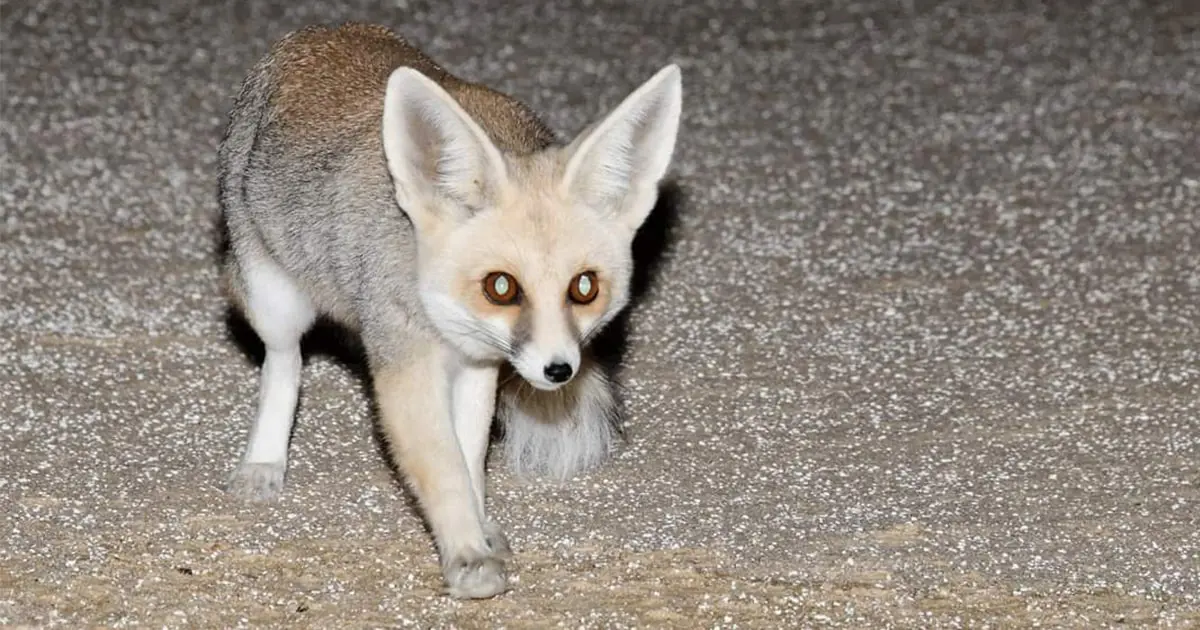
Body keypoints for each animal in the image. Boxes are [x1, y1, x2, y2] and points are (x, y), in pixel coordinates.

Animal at [216, 22, 686, 597]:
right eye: (501, 287)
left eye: (584, 288)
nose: (558, 370)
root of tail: (321, 30)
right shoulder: (405, 367)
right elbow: (443, 470)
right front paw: (466, 553)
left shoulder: (479, 365)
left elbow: (471, 461)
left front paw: (479, 529)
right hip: (275, 300)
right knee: (284, 364)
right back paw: (264, 458)